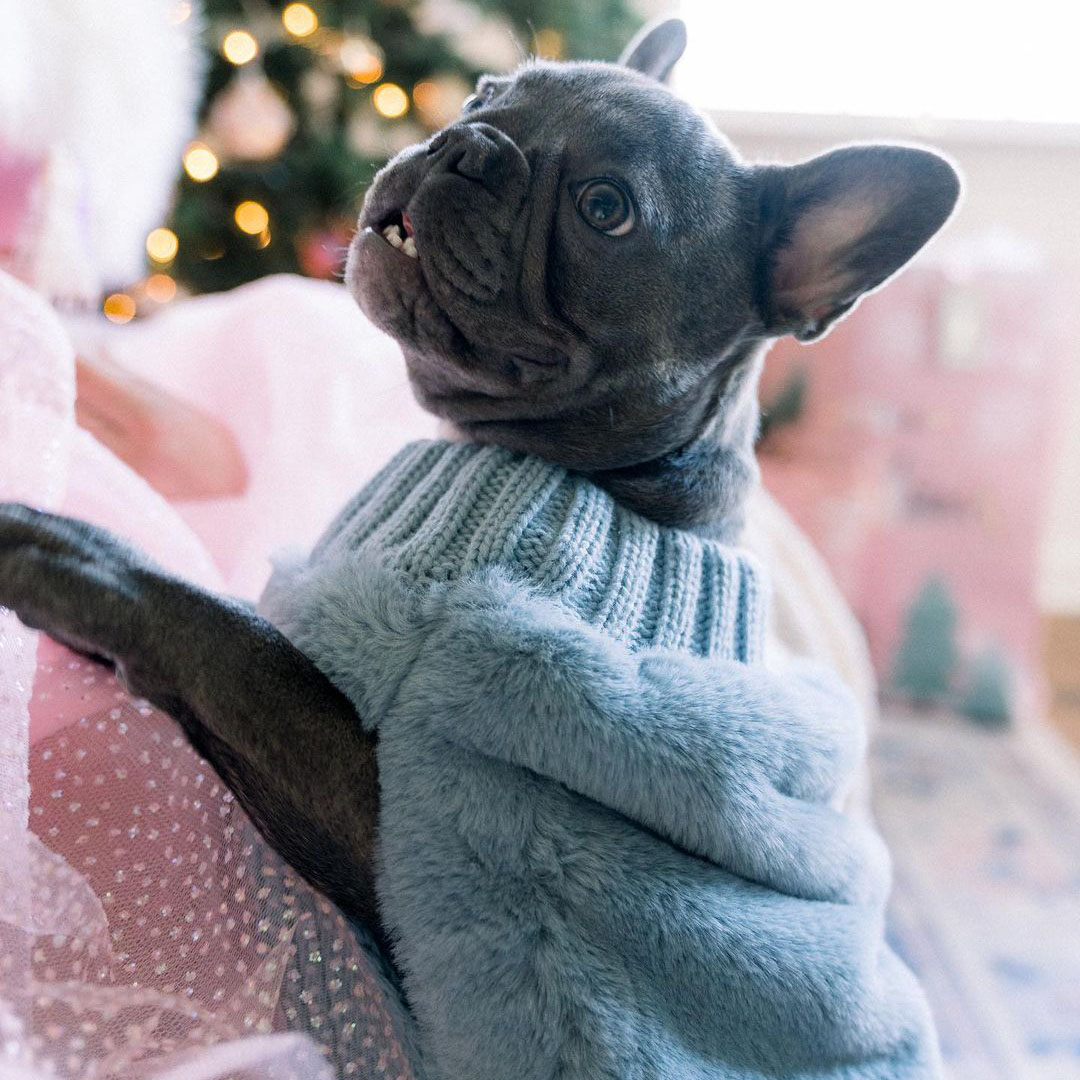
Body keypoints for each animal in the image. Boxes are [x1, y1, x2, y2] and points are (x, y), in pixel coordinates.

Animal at [0, 14, 963, 1071]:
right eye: (482, 95)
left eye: (605, 209)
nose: (469, 144)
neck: (607, 492)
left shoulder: (415, 817)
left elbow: (232, 641)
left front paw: (58, 548)